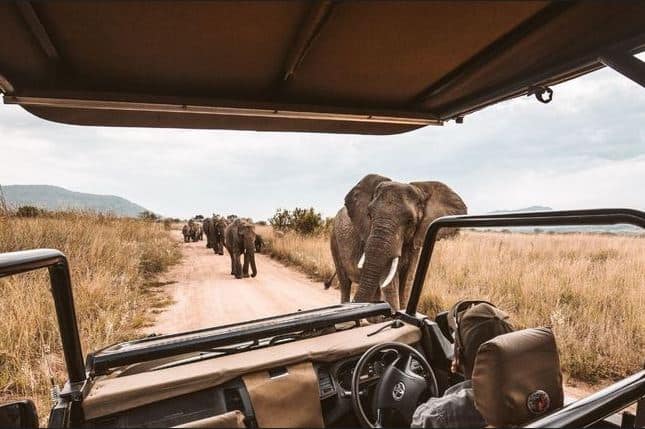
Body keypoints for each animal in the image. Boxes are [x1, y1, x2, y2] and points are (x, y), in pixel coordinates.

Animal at [328, 174, 467, 312]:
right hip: (334, 241)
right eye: (369, 215)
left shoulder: (415, 242)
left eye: (410, 221)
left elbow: (407, 280)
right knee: (345, 284)